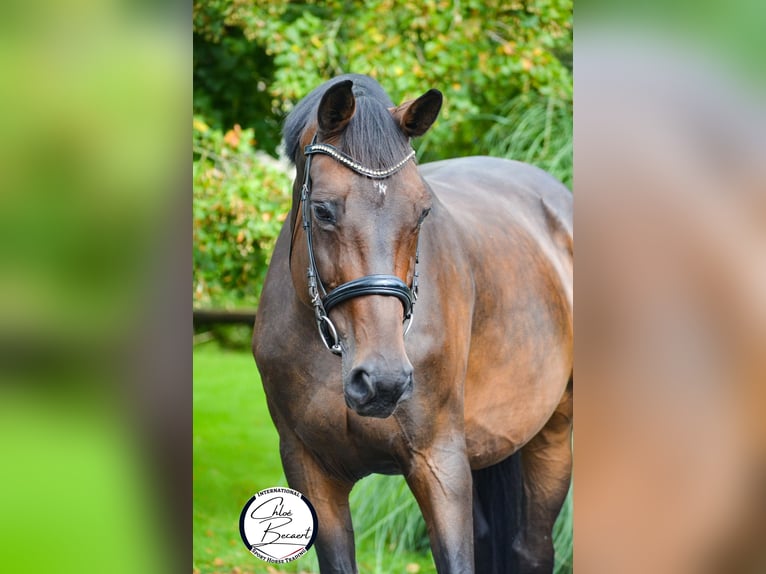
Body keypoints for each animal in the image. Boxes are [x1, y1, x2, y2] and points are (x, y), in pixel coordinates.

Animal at [255, 75, 572, 574]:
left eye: (423, 211)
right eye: (323, 210)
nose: (383, 380)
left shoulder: (439, 465)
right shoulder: (311, 470)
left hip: (554, 434)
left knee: (532, 549)